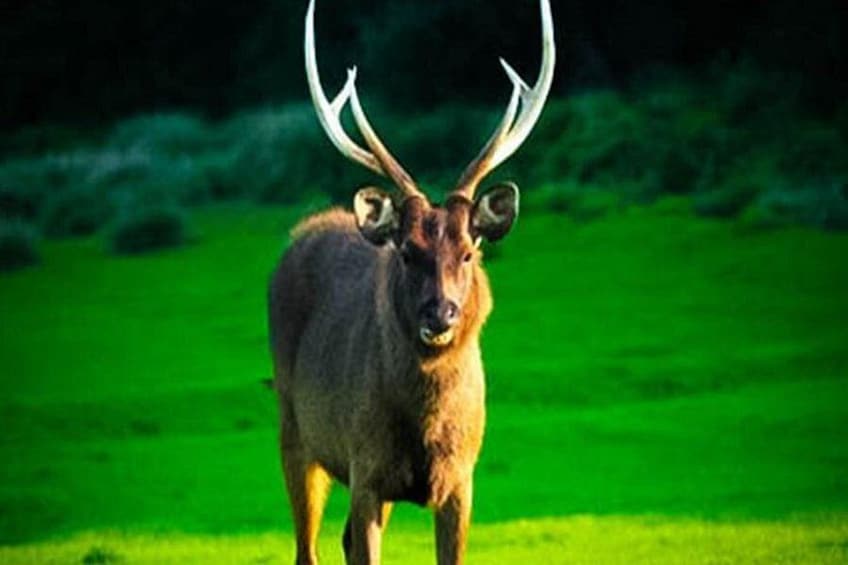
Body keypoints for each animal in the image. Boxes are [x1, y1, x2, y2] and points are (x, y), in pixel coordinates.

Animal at [268, 0, 554, 563]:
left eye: (469, 252)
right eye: (406, 252)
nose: (440, 314)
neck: (426, 428)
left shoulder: (462, 480)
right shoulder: (365, 467)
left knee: (339, 540)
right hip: (295, 425)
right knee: (306, 547)